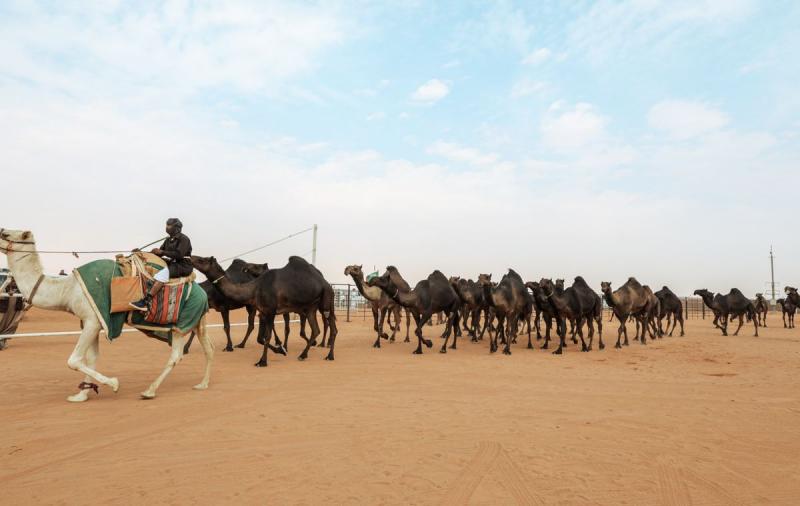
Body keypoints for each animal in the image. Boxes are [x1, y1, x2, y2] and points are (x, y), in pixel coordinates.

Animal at [0, 227, 212, 402]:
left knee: (176, 356)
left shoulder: (92, 320)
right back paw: (202, 384)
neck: (68, 290)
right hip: (196, 321)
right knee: (207, 348)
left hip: (180, 325)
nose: (1, 230)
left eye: (5, 233)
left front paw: (113, 384)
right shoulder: (93, 320)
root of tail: (203, 293)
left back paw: (149, 391)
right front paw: (81, 395)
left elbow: (74, 360)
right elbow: (91, 358)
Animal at [191, 255, 338, 366]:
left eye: (202, 260)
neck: (254, 288)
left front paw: (262, 361)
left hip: (325, 302)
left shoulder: (270, 311)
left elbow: (267, 337)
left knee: (331, 326)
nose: (190, 257)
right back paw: (304, 354)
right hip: (311, 307)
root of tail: (327, 284)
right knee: (316, 329)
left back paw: (328, 355)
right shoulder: (263, 312)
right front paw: (281, 350)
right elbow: (260, 338)